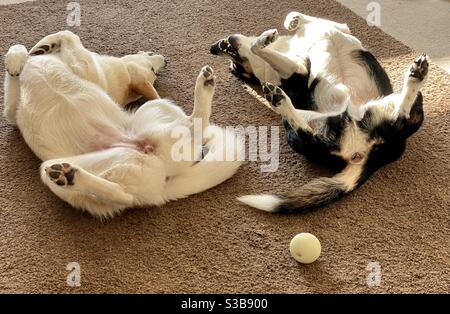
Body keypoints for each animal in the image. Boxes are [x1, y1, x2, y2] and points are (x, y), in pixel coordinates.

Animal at [3, 31, 243, 218]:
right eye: (153, 68)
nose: (165, 59)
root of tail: (162, 185)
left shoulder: (89, 71)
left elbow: (69, 35)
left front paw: (41, 47)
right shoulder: (12, 112)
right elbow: (20, 61)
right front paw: (20, 57)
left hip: (155, 106)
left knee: (195, 125)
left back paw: (204, 85)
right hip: (52, 167)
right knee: (122, 194)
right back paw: (71, 176)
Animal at [211, 12, 428, 213]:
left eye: (235, 67)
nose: (214, 48)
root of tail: (378, 154)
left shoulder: (335, 29)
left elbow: (299, 17)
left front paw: (290, 22)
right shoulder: (297, 70)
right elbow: (258, 47)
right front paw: (265, 39)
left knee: (401, 115)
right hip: (316, 124)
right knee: (398, 118)